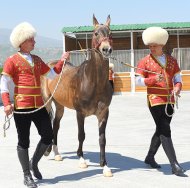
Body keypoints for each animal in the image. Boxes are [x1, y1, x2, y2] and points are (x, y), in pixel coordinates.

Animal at [41, 14, 113, 176]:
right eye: (95, 33)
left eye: (110, 33)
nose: (106, 49)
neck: (94, 83)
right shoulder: (80, 113)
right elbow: (82, 135)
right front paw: (81, 160)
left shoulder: (103, 113)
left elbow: (102, 139)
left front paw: (105, 166)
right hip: (47, 102)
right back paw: (48, 151)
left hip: (60, 106)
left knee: (56, 125)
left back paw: (57, 154)